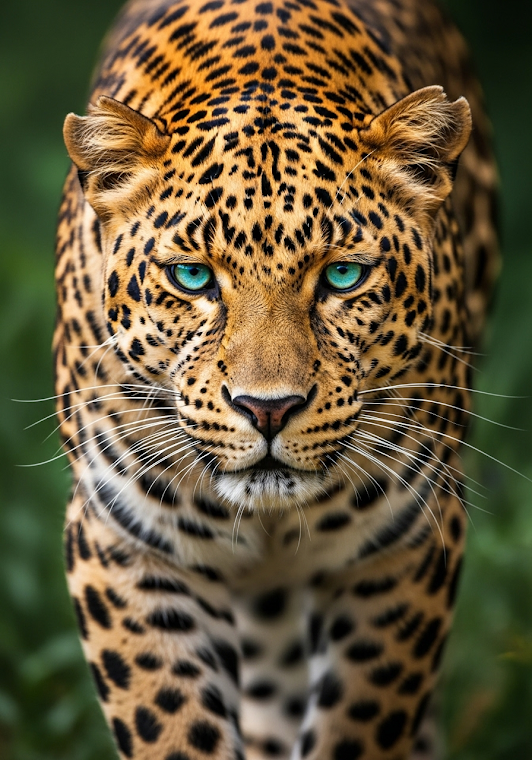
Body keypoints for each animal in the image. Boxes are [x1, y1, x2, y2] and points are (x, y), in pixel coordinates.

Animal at [54, 0, 499, 758]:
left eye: (343, 276)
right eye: (193, 277)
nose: (268, 410)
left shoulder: (404, 545)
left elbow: (363, 720)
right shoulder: (124, 542)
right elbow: (168, 721)